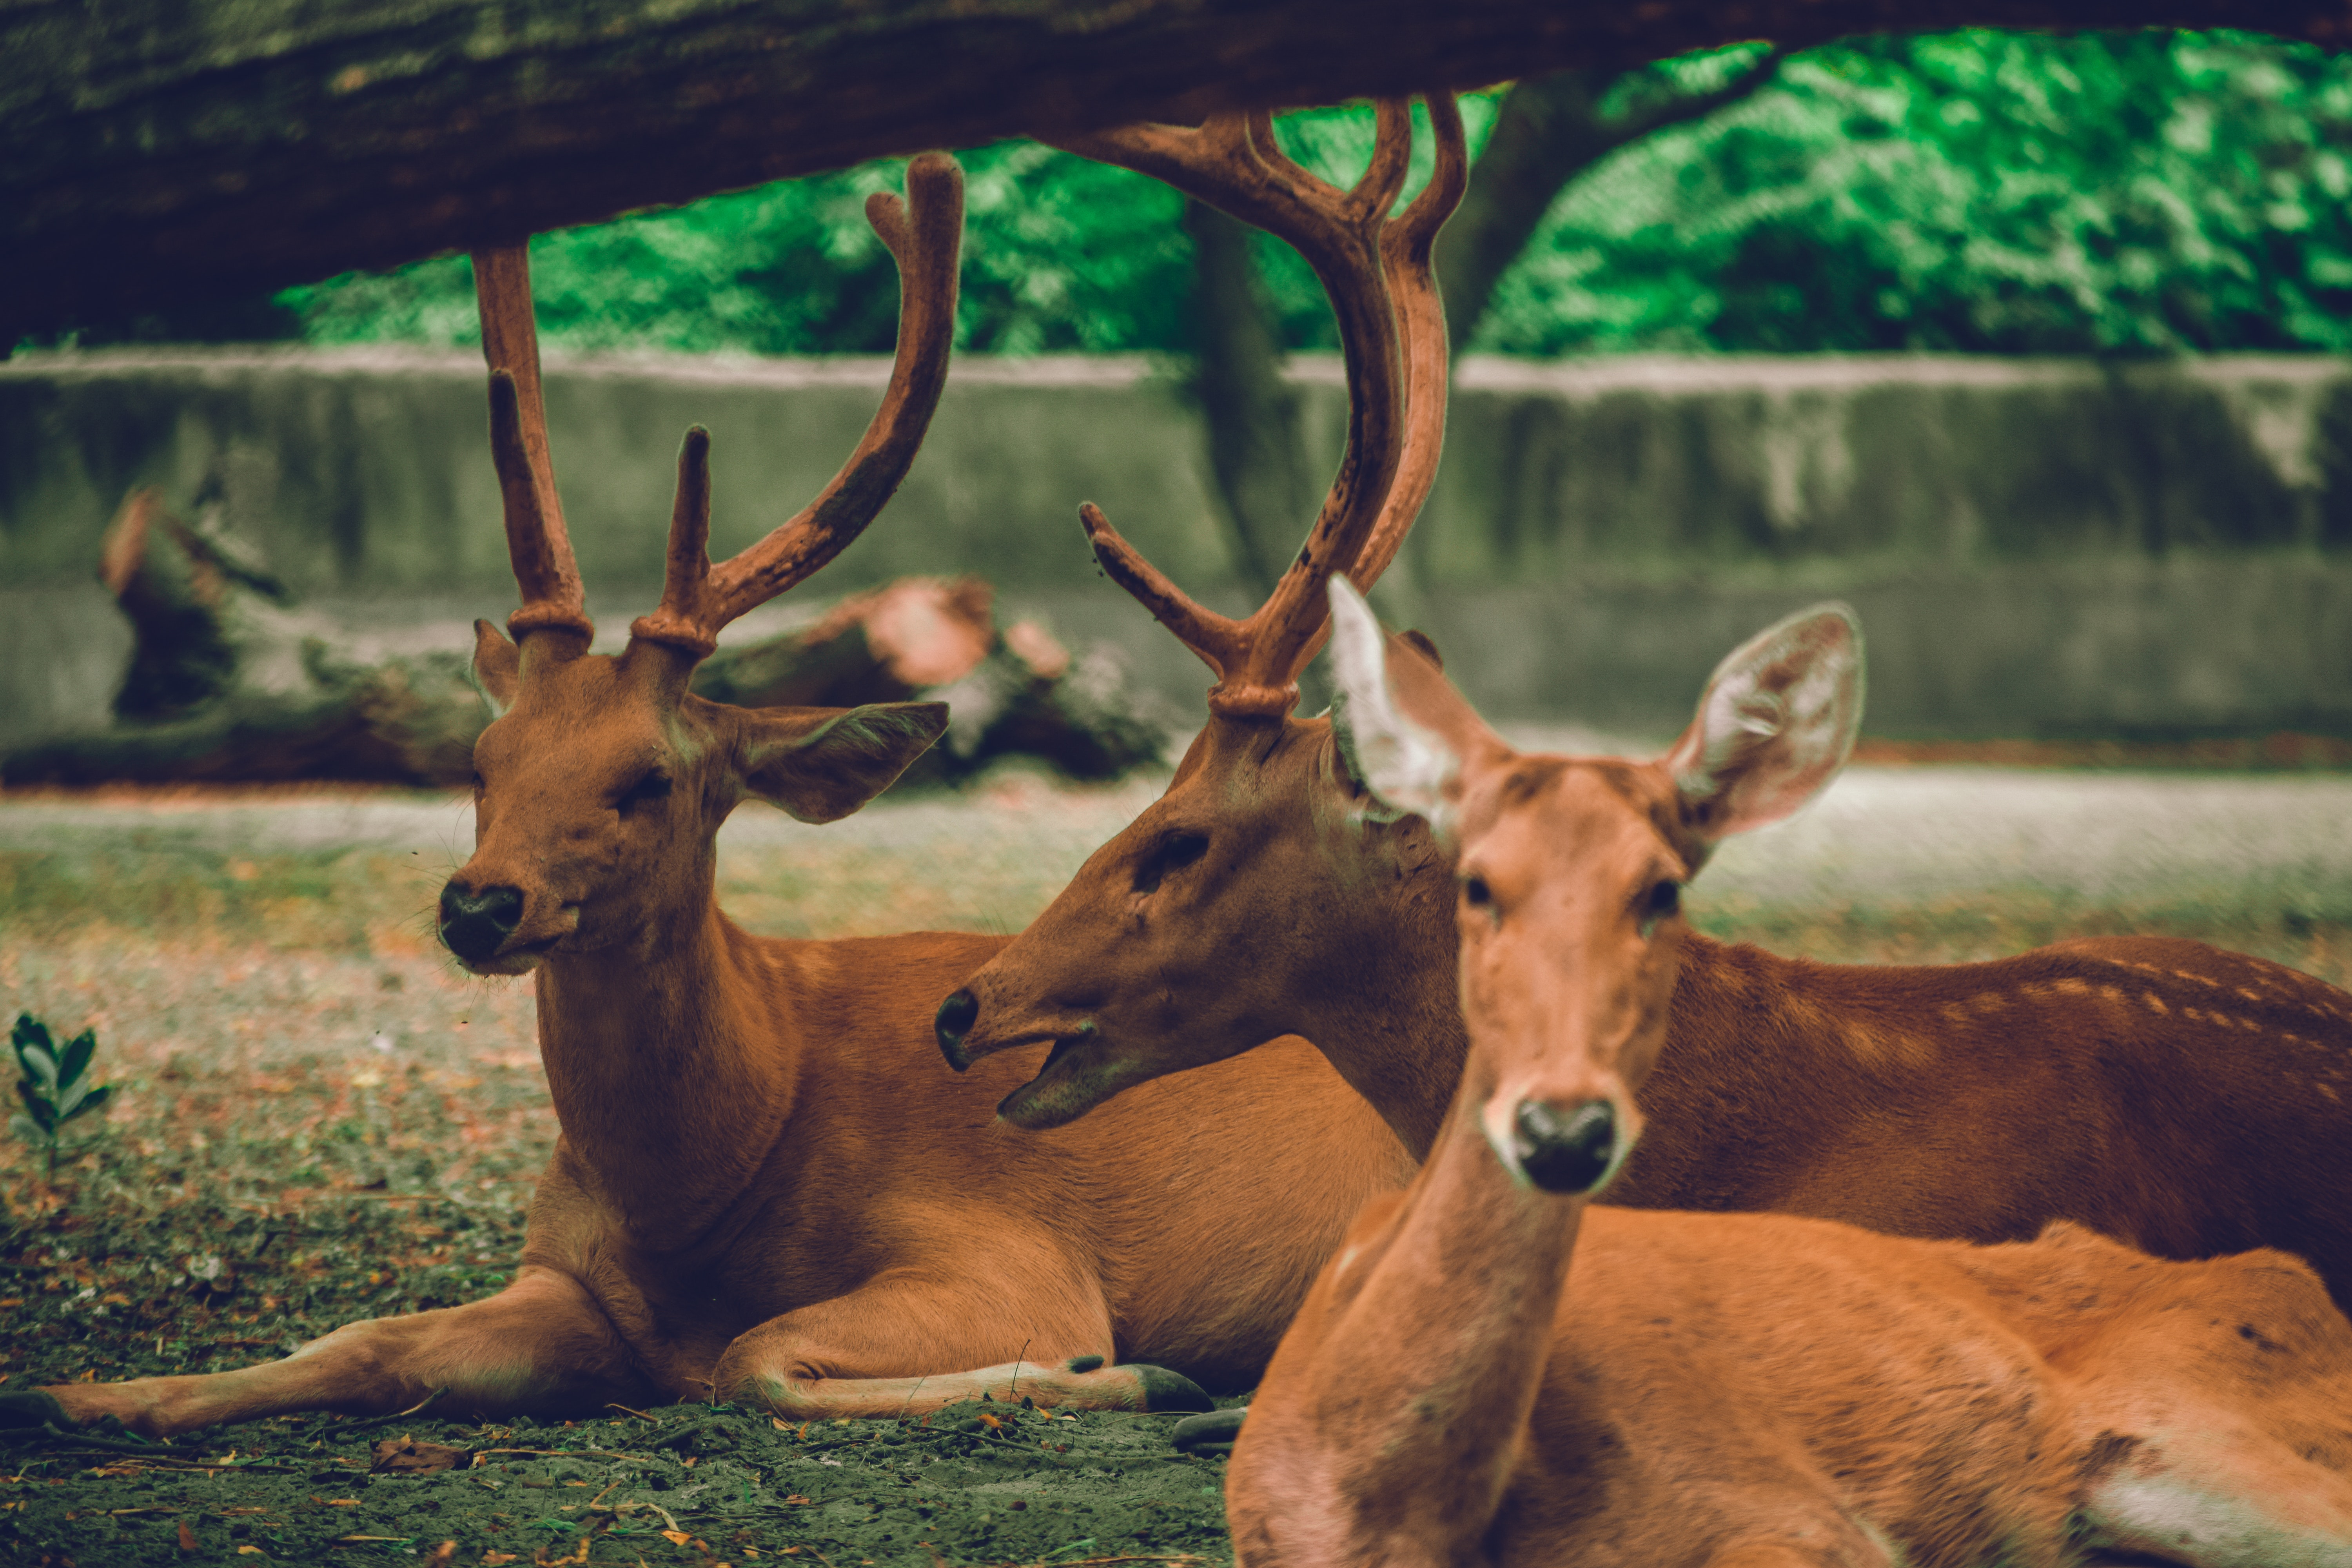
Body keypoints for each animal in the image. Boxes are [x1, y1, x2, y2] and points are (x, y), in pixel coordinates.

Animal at [0, 152, 1421, 1439]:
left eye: (651, 777)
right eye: (481, 762)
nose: (479, 906)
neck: (718, 1179)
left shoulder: (1009, 1248)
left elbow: (759, 1358)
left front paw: (1131, 1376)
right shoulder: (564, 1277)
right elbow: (364, 1339)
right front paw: (70, 1396)